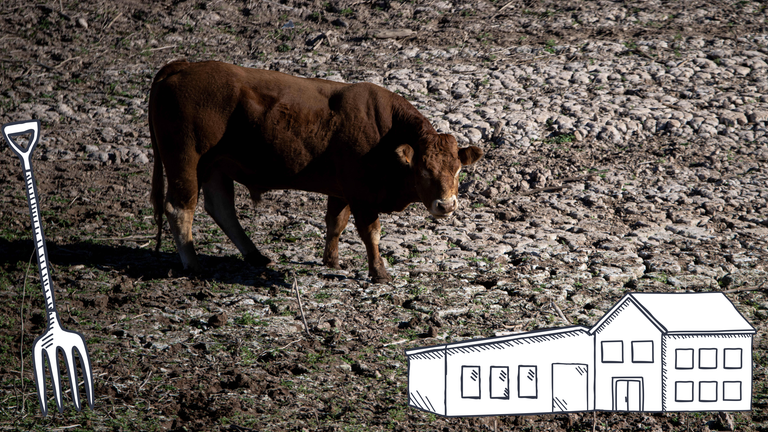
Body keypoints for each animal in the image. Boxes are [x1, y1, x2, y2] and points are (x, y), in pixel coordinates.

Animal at [149, 60, 483, 283]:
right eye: (424, 171)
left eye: (457, 171)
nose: (446, 205)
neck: (383, 133)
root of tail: (182, 66)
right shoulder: (361, 194)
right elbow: (371, 233)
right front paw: (379, 272)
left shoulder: (342, 190)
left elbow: (335, 224)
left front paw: (332, 261)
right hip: (185, 160)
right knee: (179, 208)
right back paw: (193, 264)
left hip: (216, 166)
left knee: (221, 208)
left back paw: (254, 254)